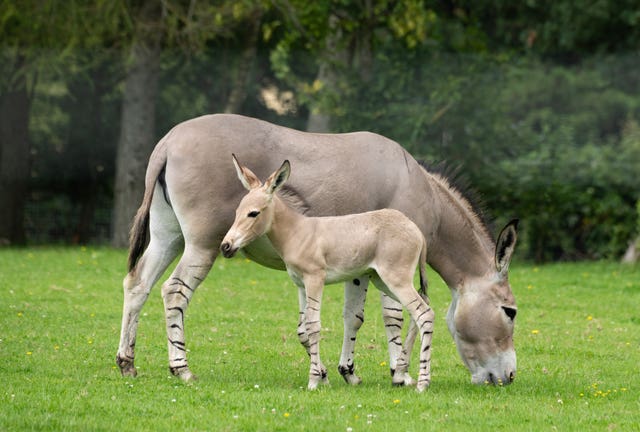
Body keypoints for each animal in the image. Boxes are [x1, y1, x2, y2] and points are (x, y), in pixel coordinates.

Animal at [220, 156, 436, 392]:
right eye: (237, 212)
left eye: (253, 213)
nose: (225, 247)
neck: (297, 232)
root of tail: (415, 229)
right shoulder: (300, 284)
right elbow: (303, 330)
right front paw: (323, 376)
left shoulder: (315, 279)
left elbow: (313, 325)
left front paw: (314, 380)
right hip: (383, 281)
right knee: (420, 310)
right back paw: (401, 374)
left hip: (396, 279)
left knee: (424, 313)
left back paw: (422, 383)